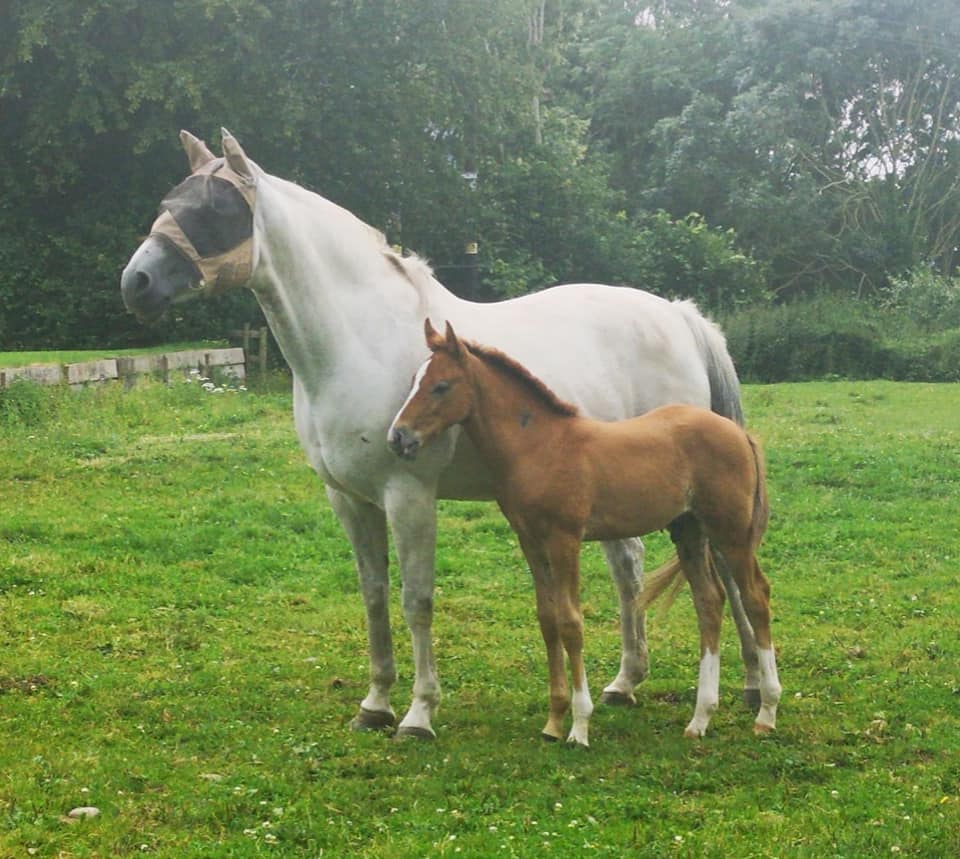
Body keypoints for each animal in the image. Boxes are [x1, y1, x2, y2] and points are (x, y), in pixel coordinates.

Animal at [386, 322, 776, 744]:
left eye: (440, 386)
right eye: (414, 380)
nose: (398, 437)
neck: (539, 446)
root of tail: (739, 433)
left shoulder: (565, 539)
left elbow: (571, 622)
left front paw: (579, 725)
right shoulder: (530, 541)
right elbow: (547, 619)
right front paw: (554, 721)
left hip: (731, 532)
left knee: (755, 597)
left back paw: (767, 711)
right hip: (688, 530)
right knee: (709, 602)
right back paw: (700, 718)